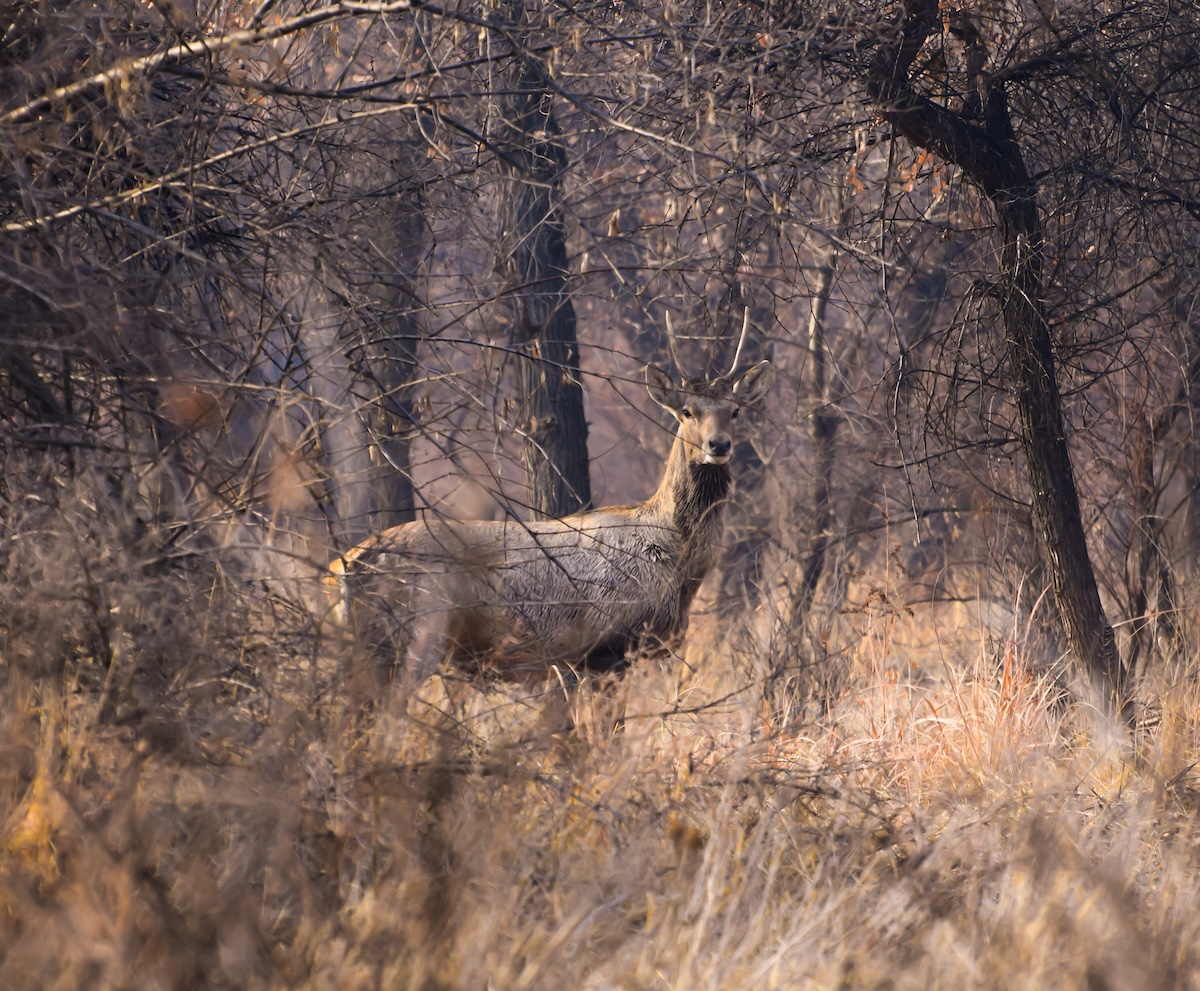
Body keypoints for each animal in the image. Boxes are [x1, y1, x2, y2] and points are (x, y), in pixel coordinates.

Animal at [324, 338, 773, 713]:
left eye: (735, 410)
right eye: (686, 411)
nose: (719, 445)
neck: (674, 561)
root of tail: (343, 568)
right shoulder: (604, 647)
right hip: (409, 635)